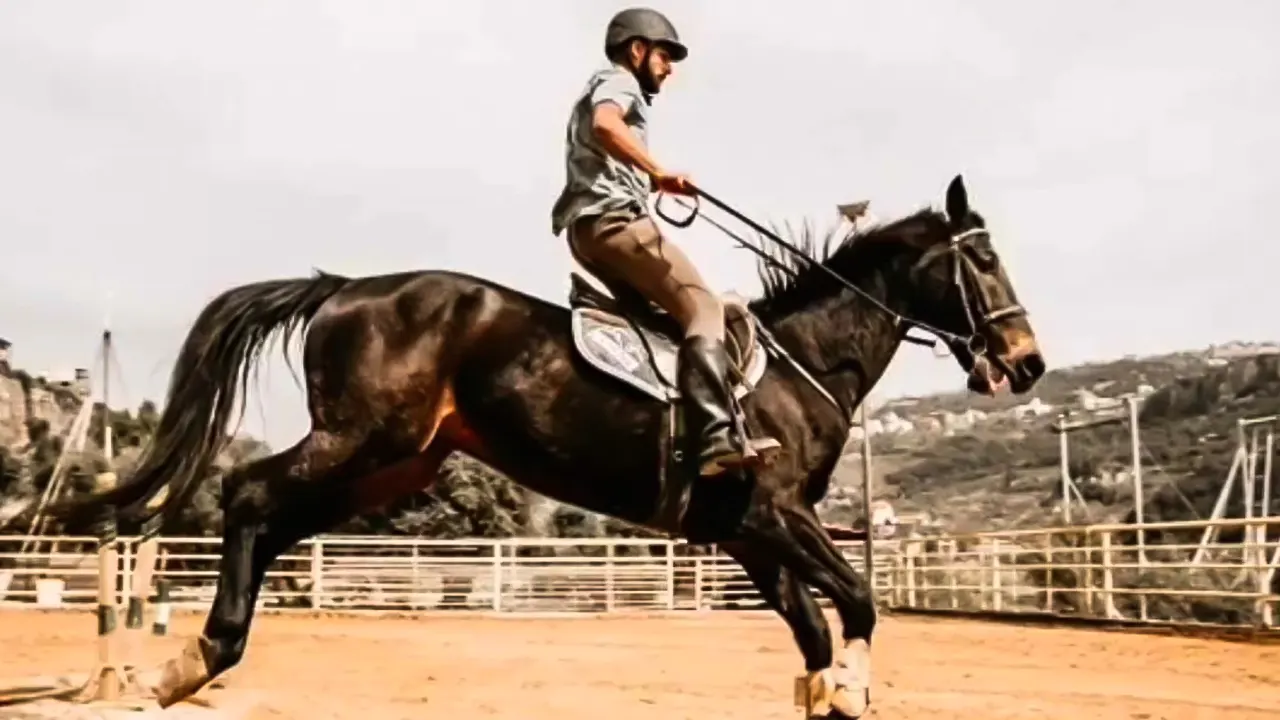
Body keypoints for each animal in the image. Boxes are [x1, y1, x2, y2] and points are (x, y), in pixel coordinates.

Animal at [52, 175, 1049, 717]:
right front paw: (857, 689)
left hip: (392, 462)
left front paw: (833, 691)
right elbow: (861, 604)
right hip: (358, 439)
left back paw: (195, 659)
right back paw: (198, 657)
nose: (1028, 362)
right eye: (983, 261)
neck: (800, 364)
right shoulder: (777, 515)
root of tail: (342, 287)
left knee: (276, 518)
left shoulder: (749, 536)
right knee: (250, 494)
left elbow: (814, 640)